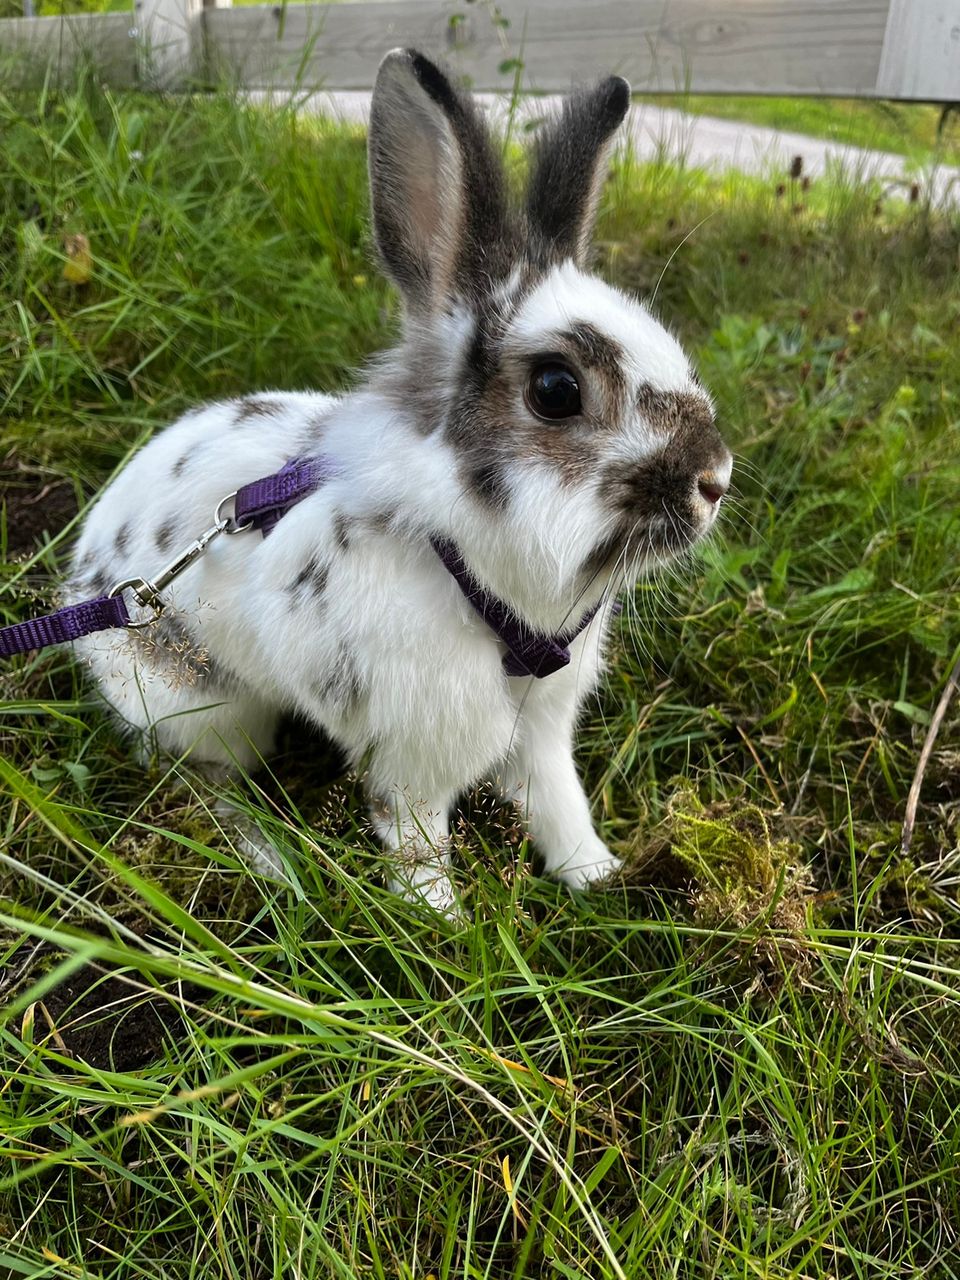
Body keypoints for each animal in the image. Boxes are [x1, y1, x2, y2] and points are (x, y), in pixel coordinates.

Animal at [65, 47, 727, 911]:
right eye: (556, 389)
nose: (715, 478)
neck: (491, 587)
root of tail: (79, 575)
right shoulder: (416, 749)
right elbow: (413, 834)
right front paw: (438, 918)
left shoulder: (543, 730)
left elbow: (558, 803)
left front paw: (595, 874)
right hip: (207, 707)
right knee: (197, 774)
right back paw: (267, 857)